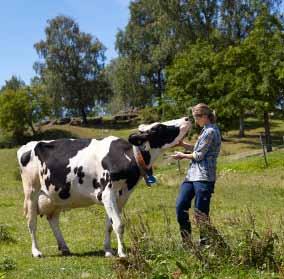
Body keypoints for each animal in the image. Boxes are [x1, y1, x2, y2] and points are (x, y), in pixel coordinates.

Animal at [17, 117, 191, 258]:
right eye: (158, 128)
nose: (187, 118)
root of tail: (27, 145)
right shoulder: (107, 193)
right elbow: (119, 224)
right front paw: (122, 253)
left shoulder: (122, 196)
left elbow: (110, 224)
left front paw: (108, 250)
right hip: (31, 191)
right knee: (31, 222)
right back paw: (36, 251)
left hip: (56, 196)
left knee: (53, 220)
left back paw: (64, 247)